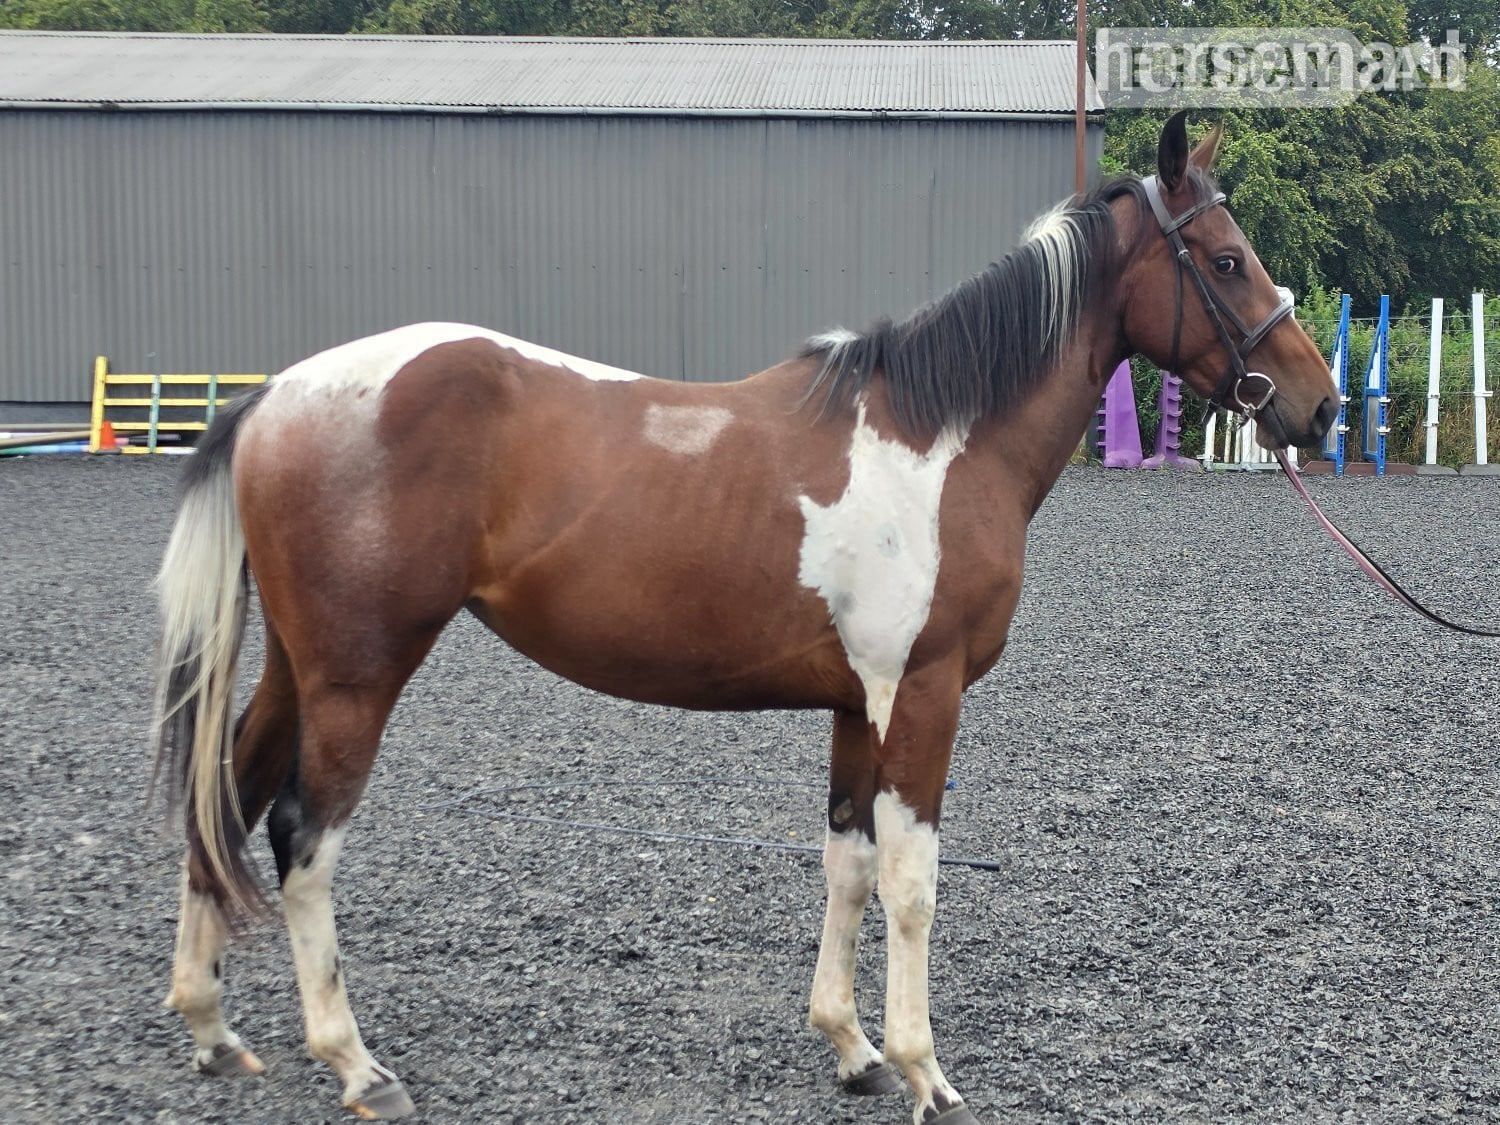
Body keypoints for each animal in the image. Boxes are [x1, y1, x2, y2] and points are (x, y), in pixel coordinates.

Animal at [151, 112, 1338, 1124]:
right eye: (1224, 261)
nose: (1317, 404)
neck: (937, 443)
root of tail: (280, 394)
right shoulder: (923, 696)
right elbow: (913, 884)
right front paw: (925, 1071)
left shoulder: (859, 705)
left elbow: (847, 864)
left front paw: (853, 1049)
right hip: (357, 674)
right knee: (302, 838)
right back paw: (356, 1065)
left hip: (298, 668)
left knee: (228, 796)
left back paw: (212, 1029)